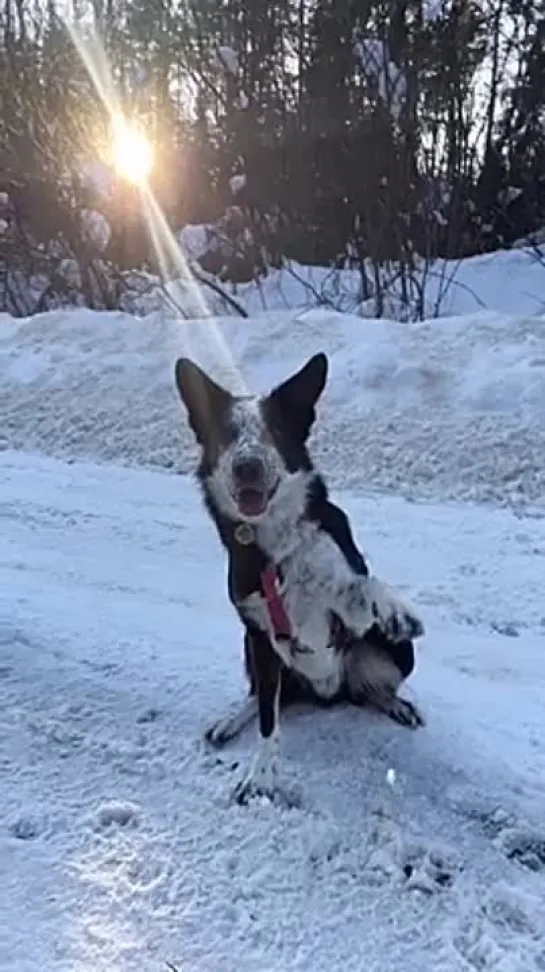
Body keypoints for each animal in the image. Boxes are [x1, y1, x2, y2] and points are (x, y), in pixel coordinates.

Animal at [174, 350, 424, 804]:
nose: (248, 467)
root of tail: (327, 693)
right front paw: (261, 775)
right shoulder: (258, 633)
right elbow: (268, 723)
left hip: (398, 654)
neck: (277, 552)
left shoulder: (348, 612)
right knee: (265, 697)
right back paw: (230, 719)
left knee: (372, 689)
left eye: (275, 430)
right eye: (228, 434)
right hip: (251, 648)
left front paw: (395, 607)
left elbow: (363, 584)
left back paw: (395, 703)